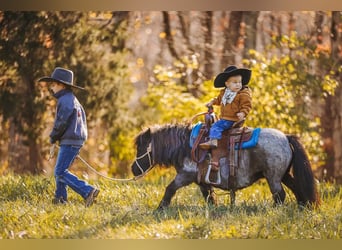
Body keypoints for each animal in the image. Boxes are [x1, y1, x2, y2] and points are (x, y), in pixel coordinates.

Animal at [132, 122, 320, 210]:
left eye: (141, 147)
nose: (133, 169)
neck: (187, 146)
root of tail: (286, 137)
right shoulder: (202, 181)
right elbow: (209, 197)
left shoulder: (185, 176)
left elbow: (169, 189)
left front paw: (159, 209)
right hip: (284, 175)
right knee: (296, 188)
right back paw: (304, 206)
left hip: (273, 177)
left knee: (280, 195)